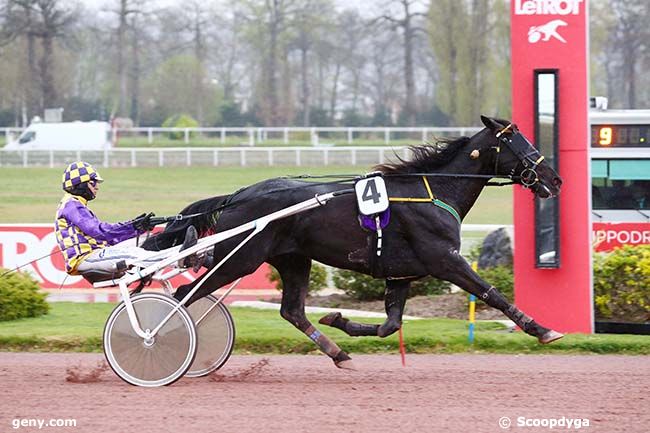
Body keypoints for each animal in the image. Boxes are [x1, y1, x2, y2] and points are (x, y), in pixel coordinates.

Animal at [142, 115, 560, 368]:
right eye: (518, 141)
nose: (554, 180)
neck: (432, 190)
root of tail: (238, 195)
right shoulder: (444, 259)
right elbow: (492, 292)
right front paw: (542, 329)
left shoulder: (401, 273)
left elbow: (391, 324)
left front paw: (339, 319)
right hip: (239, 259)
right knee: (183, 296)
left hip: (293, 259)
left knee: (291, 311)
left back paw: (337, 351)